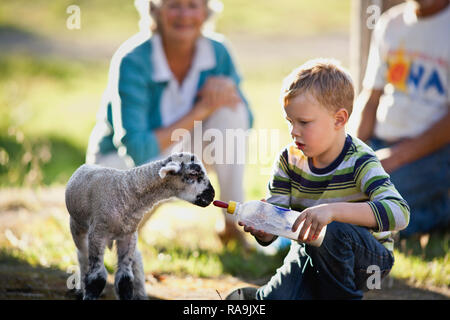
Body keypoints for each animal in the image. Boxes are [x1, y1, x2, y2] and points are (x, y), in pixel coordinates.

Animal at [64, 152, 216, 300]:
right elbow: (96, 278)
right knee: (82, 256)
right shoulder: (98, 234)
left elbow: (124, 279)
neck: (126, 191)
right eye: (193, 174)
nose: (212, 195)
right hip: (77, 225)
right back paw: (81, 288)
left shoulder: (128, 236)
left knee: (136, 259)